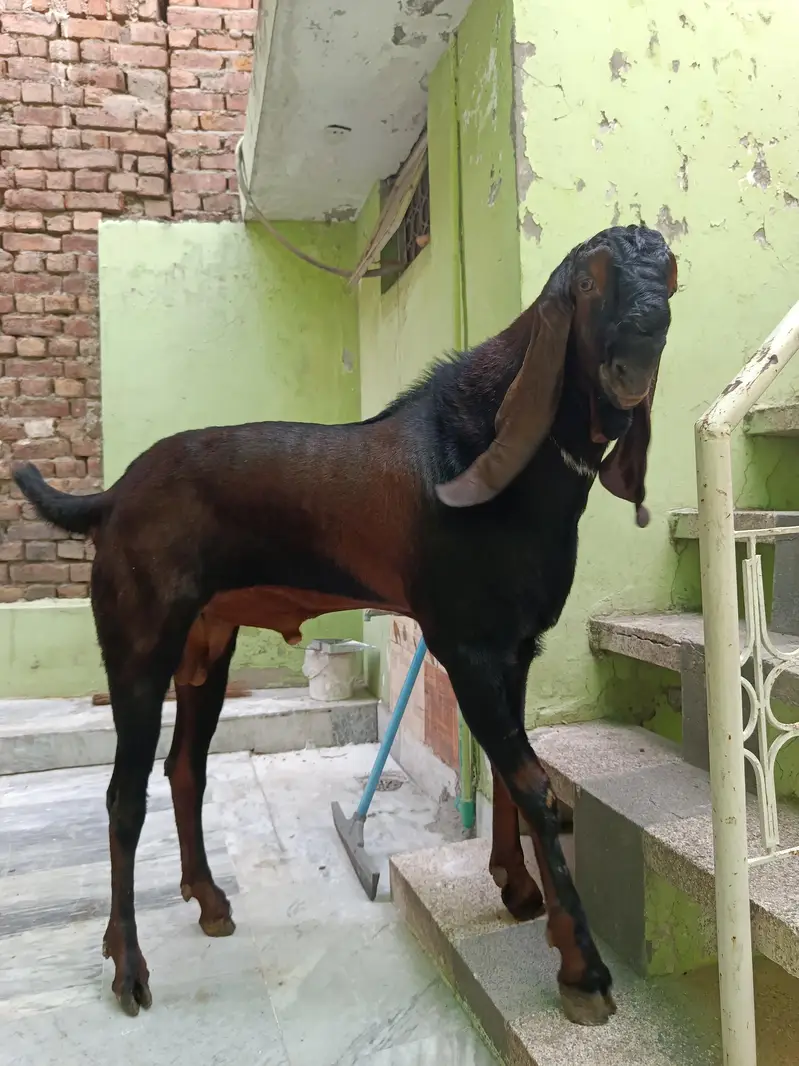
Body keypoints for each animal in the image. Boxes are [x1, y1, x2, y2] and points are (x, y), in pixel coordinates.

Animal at [13, 223, 677, 1025]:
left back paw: (209, 900)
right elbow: (532, 784)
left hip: (207, 644)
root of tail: (110, 498)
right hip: (139, 642)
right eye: (589, 282)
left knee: (185, 768)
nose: (635, 358)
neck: (487, 444)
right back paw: (128, 965)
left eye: (671, 276)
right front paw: (582, 969)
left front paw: (516, 889)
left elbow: (509, 776)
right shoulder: (467, 647)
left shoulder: (515, 649)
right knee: (122, 797)